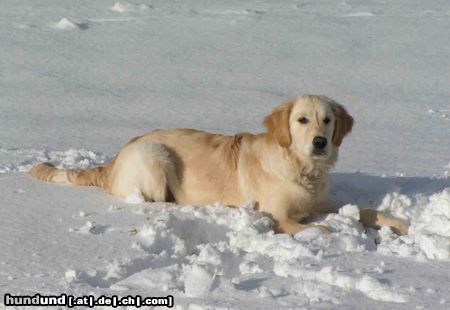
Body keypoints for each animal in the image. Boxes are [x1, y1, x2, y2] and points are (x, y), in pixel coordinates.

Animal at [29, 94, 408, 235]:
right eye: (302, 120)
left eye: (327, 121)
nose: (320, 142)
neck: (301, 168)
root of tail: (117, 157)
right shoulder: (280, 214)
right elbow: (323, 228)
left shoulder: (322, 201)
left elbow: (363, 210)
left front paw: (396, 224)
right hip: (155, 157)